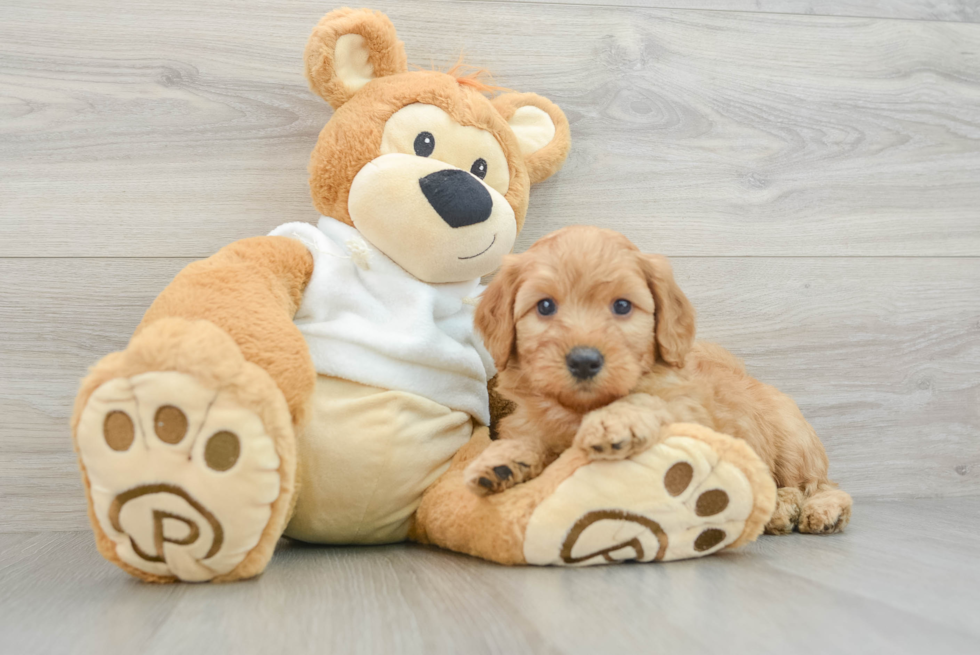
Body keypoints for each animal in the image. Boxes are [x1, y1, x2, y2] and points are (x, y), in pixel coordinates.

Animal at [468, 224, 848, 532]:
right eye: (545, 306)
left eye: (622, 306)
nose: (584, 361)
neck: (579, 410)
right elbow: (531, 436)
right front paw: (503, 459)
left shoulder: (690, 418)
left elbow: (647, 400)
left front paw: (612, 422)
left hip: (793, 444)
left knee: (820, 485)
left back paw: (812, 510)